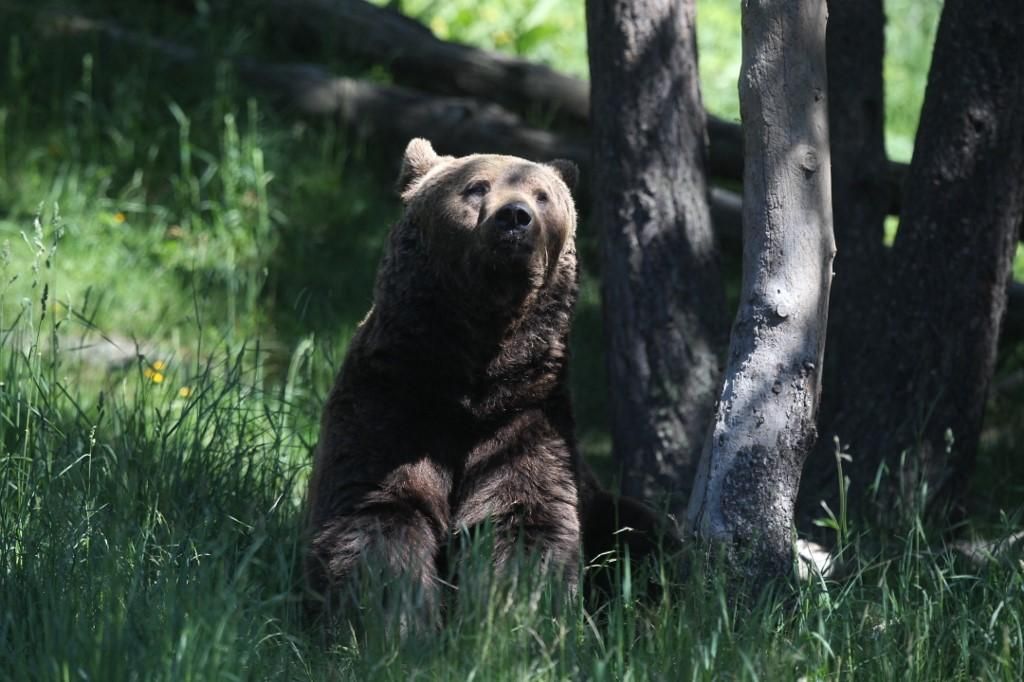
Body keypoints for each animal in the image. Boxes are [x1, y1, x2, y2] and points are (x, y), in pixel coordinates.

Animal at [301, 138, 671, 626]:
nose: (515, 217)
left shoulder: (525, 416)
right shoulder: (391, 399)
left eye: (542, 196)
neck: (471, 380)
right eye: (476, 187)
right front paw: (400, 619)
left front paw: (511, 616)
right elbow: (377, 512)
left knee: (648, 537)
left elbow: (525, 519)